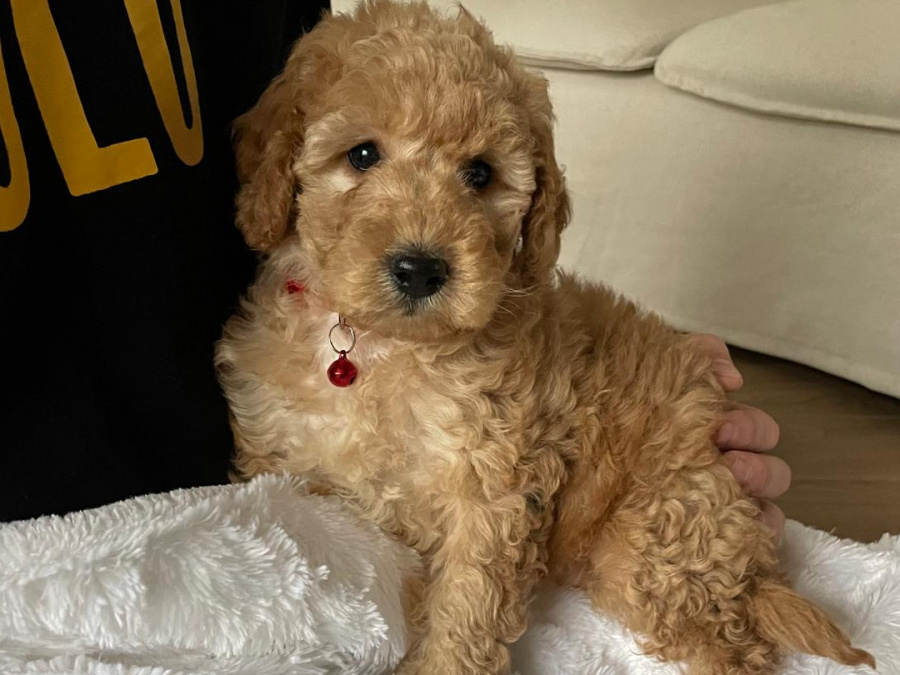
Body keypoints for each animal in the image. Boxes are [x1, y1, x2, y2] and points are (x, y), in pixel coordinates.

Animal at [214, 2, 876, 672]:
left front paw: (442, 658)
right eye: (363, 155)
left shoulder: (492, 490)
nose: (421, 269)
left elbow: (467, 603)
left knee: (733, 645)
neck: (383, 347)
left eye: (481, 174)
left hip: (659, 545)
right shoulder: (285, 459)